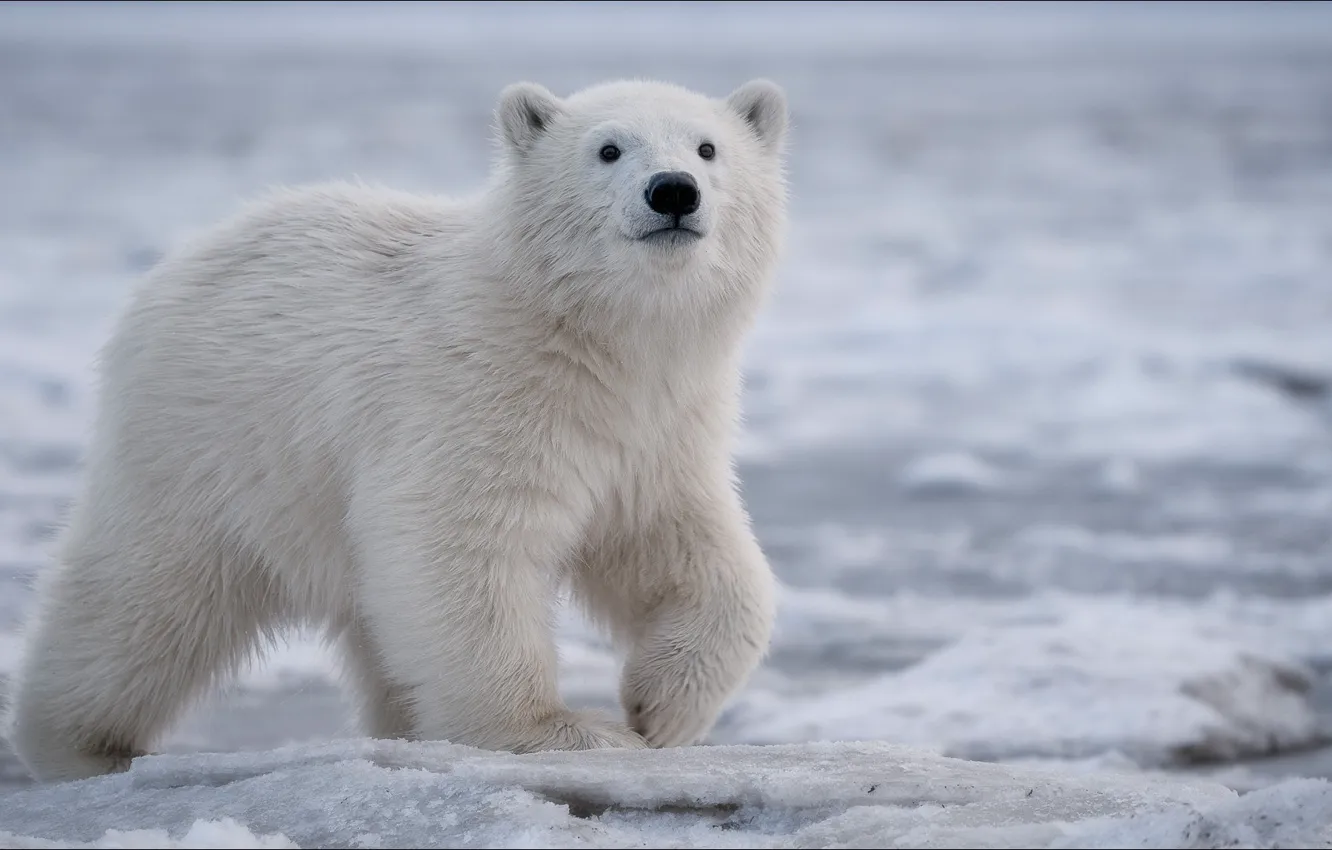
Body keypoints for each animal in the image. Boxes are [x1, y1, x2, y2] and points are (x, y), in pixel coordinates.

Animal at [3, 78, 789, 782]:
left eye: (708, 147)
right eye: (608, 148)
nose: (673, 191)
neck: (589, 338)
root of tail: (179, 264)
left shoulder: (657, 428)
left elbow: (687, 552)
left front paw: (662, 708)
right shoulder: (475, 395)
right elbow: (457, 547)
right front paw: (560, 730)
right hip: (211, 442)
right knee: (144, 596)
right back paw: (78, 744)